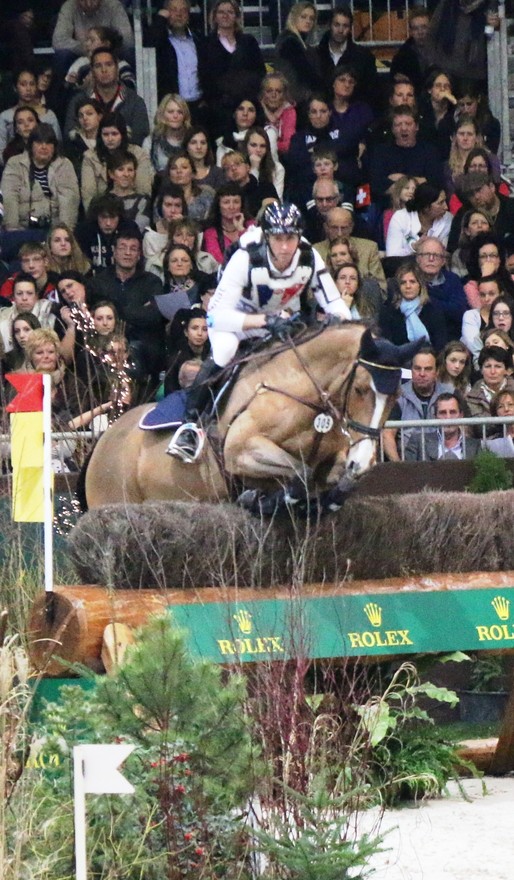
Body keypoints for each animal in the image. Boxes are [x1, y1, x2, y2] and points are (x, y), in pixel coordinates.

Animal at [85, 322, 419, 512]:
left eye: (395, 397)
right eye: (361, 389)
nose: (361, 462)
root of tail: (104, 439)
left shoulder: (334, 457)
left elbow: (335, 481)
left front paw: (328, 499)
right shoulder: (241, 451)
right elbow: (300, 474)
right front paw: (261, 500)